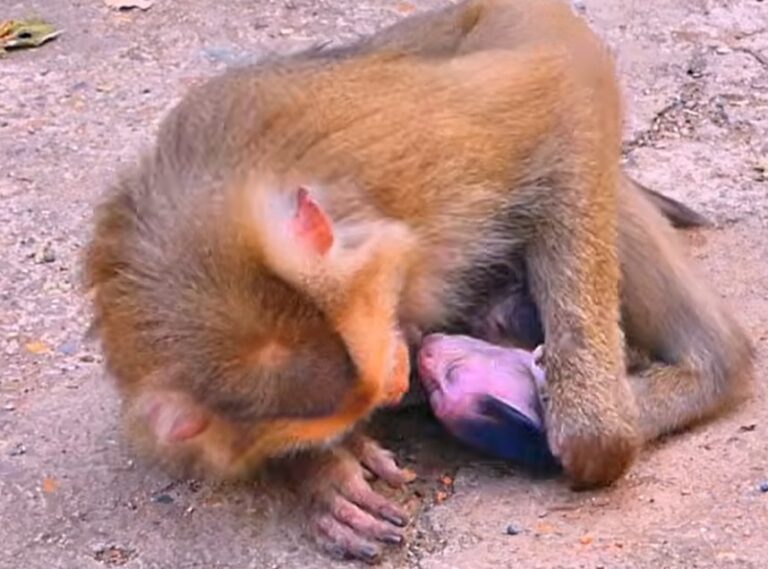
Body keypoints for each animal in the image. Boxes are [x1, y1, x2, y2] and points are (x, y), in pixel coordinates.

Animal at [82, 0, 754, 563]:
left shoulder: (409, 158)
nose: (398, 382)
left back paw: (700, 370)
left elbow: (557, 73)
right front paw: (327, 472)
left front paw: (591, 430)